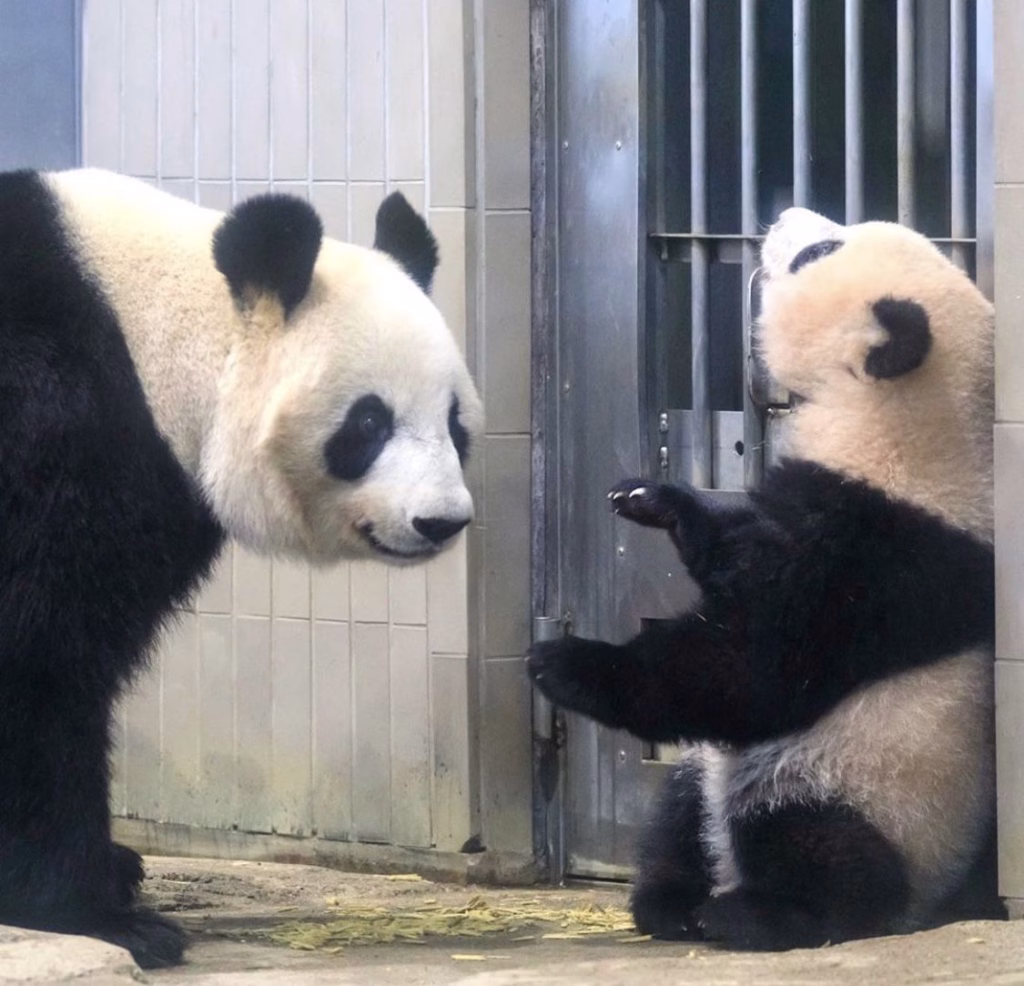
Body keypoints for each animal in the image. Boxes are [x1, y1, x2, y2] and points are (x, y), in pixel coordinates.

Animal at [0, 168, 482, 967]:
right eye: (369, 422)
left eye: (455, 423)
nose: (440, 521)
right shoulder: (58, 429)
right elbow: (39, 663)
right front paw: (93, 912)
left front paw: (111, 873)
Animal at [528, 207, 999, 949]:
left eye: (819, 250)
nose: (780, 217)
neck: (902, 427)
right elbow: (728, 548)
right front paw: (652, 498)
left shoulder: (882, 551)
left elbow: (752, 666)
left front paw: (562, 661)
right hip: (709, 773)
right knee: (681, 812)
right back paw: (668, 900)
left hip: (873, 786)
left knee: (818, 843)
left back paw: (753, 912)